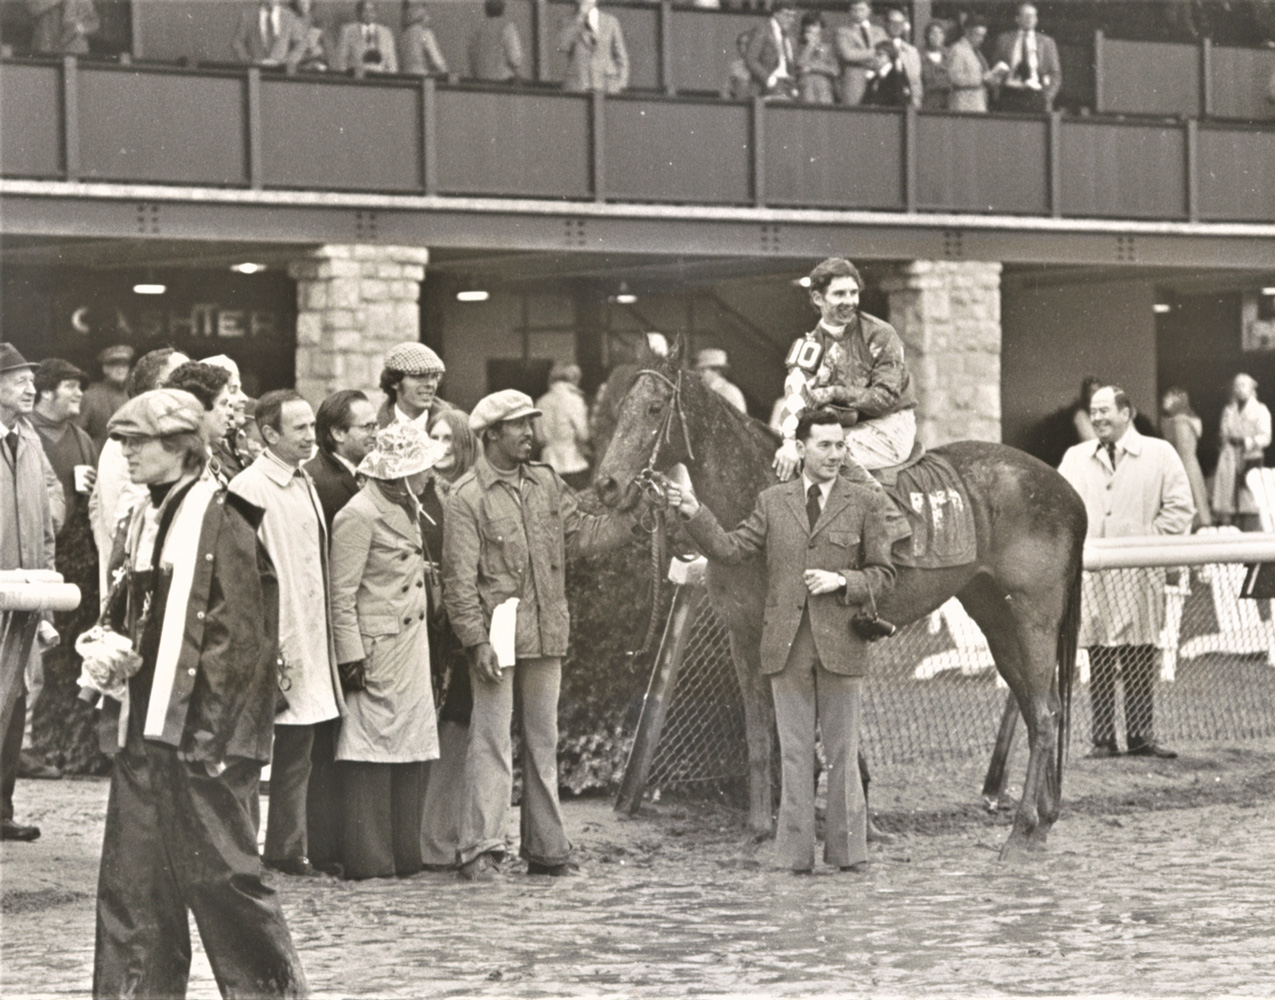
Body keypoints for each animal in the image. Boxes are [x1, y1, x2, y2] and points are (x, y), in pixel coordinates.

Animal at [594, 346, 1086, 857]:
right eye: (620, 407)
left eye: (654, 409)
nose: (606, 484)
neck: (756, 495)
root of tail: (1068, 493)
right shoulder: (745, 637)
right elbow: (760, 735)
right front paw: (760, 829)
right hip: (997, 618)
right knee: (1039, 707)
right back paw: (1043, 821)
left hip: (1033, 619)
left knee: (1046, 714)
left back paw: (1021, 831)